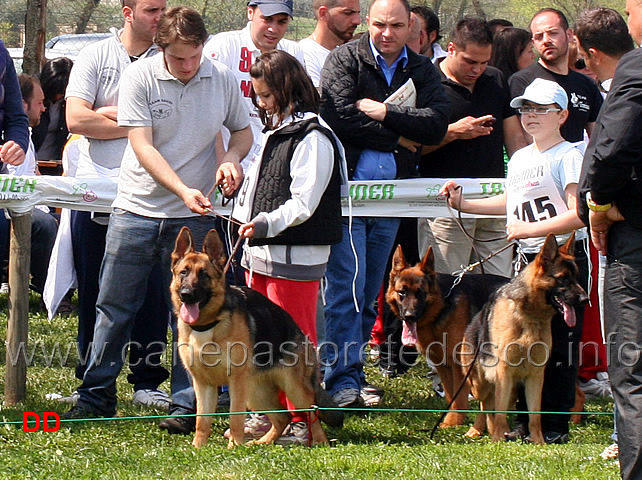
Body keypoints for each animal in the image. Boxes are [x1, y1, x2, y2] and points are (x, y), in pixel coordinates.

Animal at [169, 227, 340, 448]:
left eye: (203, 274)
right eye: (184, 272)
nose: (186, 294)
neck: (208, 324)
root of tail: (300, 331)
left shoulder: (235, 382)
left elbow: (235, 418)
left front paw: (234, 447)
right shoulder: (203, 384)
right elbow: (202, 421)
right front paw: (198, 448)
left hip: (294, 390)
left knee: (312, 415)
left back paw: (320, 443)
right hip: (255, 393)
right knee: (282, 417)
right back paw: (262, 443)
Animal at [382, 246, 508, 426]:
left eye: (420, 293)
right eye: (402, 292)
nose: (409, 316)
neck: (442, 303)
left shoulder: (458, 364)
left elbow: (459, 396)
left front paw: (453, 422)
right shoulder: (441, 363)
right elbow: (450, 394)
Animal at [460, 232, 584, 442]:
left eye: (577, 277)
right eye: (563, 279)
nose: (585, 299)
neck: (531, 315)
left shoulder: (535, 375)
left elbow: (534, 415)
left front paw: (539, 442)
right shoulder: (504, 372)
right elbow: (499, 412)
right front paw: (497, 441)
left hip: (509, 390)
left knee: (491, 404)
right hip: (479, 383)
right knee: (486, 403)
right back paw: (478, 430)